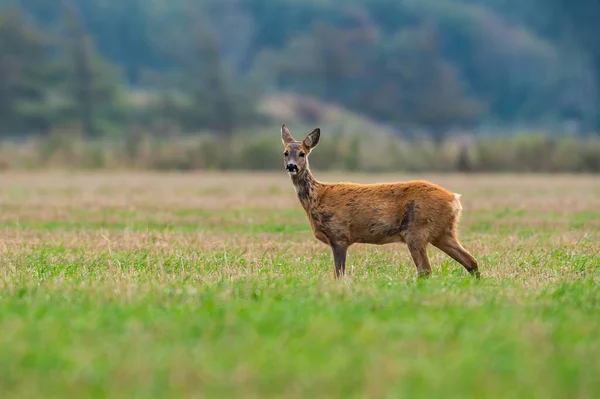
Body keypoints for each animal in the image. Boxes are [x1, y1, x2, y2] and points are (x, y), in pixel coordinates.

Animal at [282, 123, 482, 280]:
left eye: (302, 153)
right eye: (285, 153)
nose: (291, 166)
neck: (318, 196)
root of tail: (455, 199)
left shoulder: (339, 235)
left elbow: (339, 274)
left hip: (417, 230)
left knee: (425, 270)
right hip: (444, 231)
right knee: (471, 261)